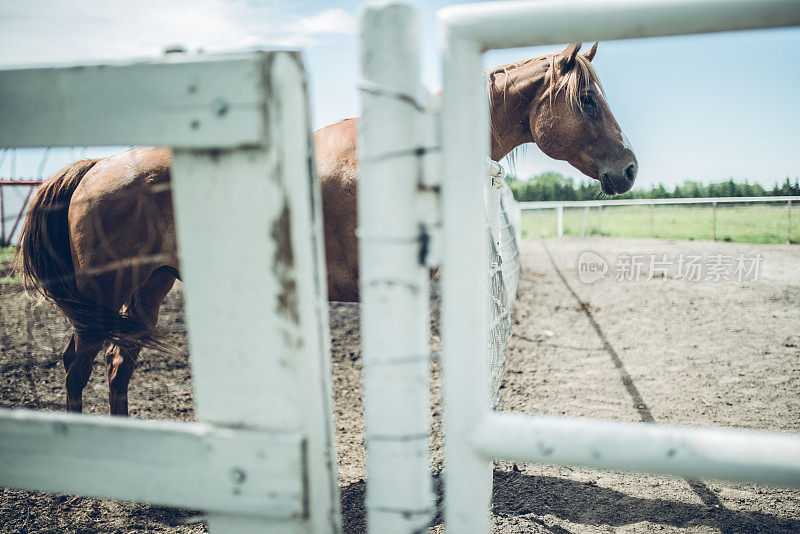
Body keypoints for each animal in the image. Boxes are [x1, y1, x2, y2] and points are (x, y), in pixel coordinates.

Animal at [15, 43, 636, 418]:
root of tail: (96, 165)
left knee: (119, 366)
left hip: (149, 289)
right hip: (105, 296)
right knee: (78, 365)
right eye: (587, 99)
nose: (629, 169)